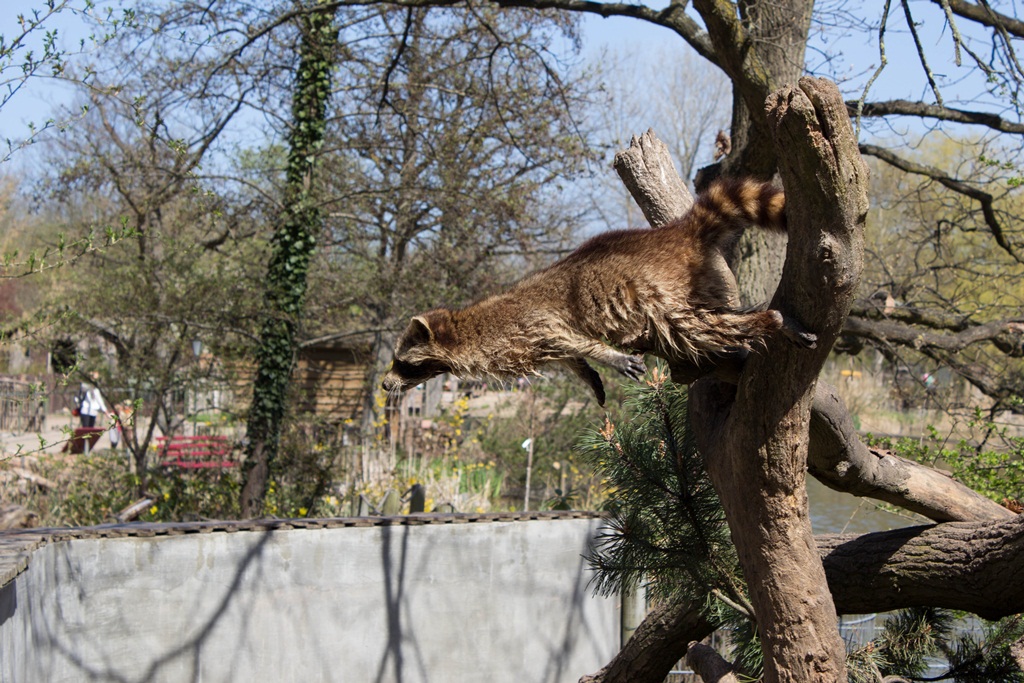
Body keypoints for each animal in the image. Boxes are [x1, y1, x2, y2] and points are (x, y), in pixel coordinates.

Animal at [382, 178, 815, 405]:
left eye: (403, 363)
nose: (385, 385)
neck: (465, 328)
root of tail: (679, 232)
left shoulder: (530, 324)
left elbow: (574, 340)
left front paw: (605, 355)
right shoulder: (534, 342)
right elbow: (569, 357)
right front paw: (589, 376)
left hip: (664, 288)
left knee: (692, 328)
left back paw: (771, 320)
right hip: (703, 277)